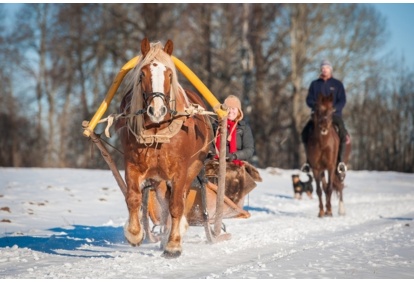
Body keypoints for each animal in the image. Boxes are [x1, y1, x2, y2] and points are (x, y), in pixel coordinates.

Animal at [116, 38, 213, 260]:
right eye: (142, 74)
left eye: (169, 74)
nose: (157, 110)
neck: (157, 131)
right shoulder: (133, 165)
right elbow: (134, 199)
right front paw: (134, 234)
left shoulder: (180, 170)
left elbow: (176, 205)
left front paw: (173, 245)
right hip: (158, 178)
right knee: (162, 201)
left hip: (192, 169)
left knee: (178, 199)